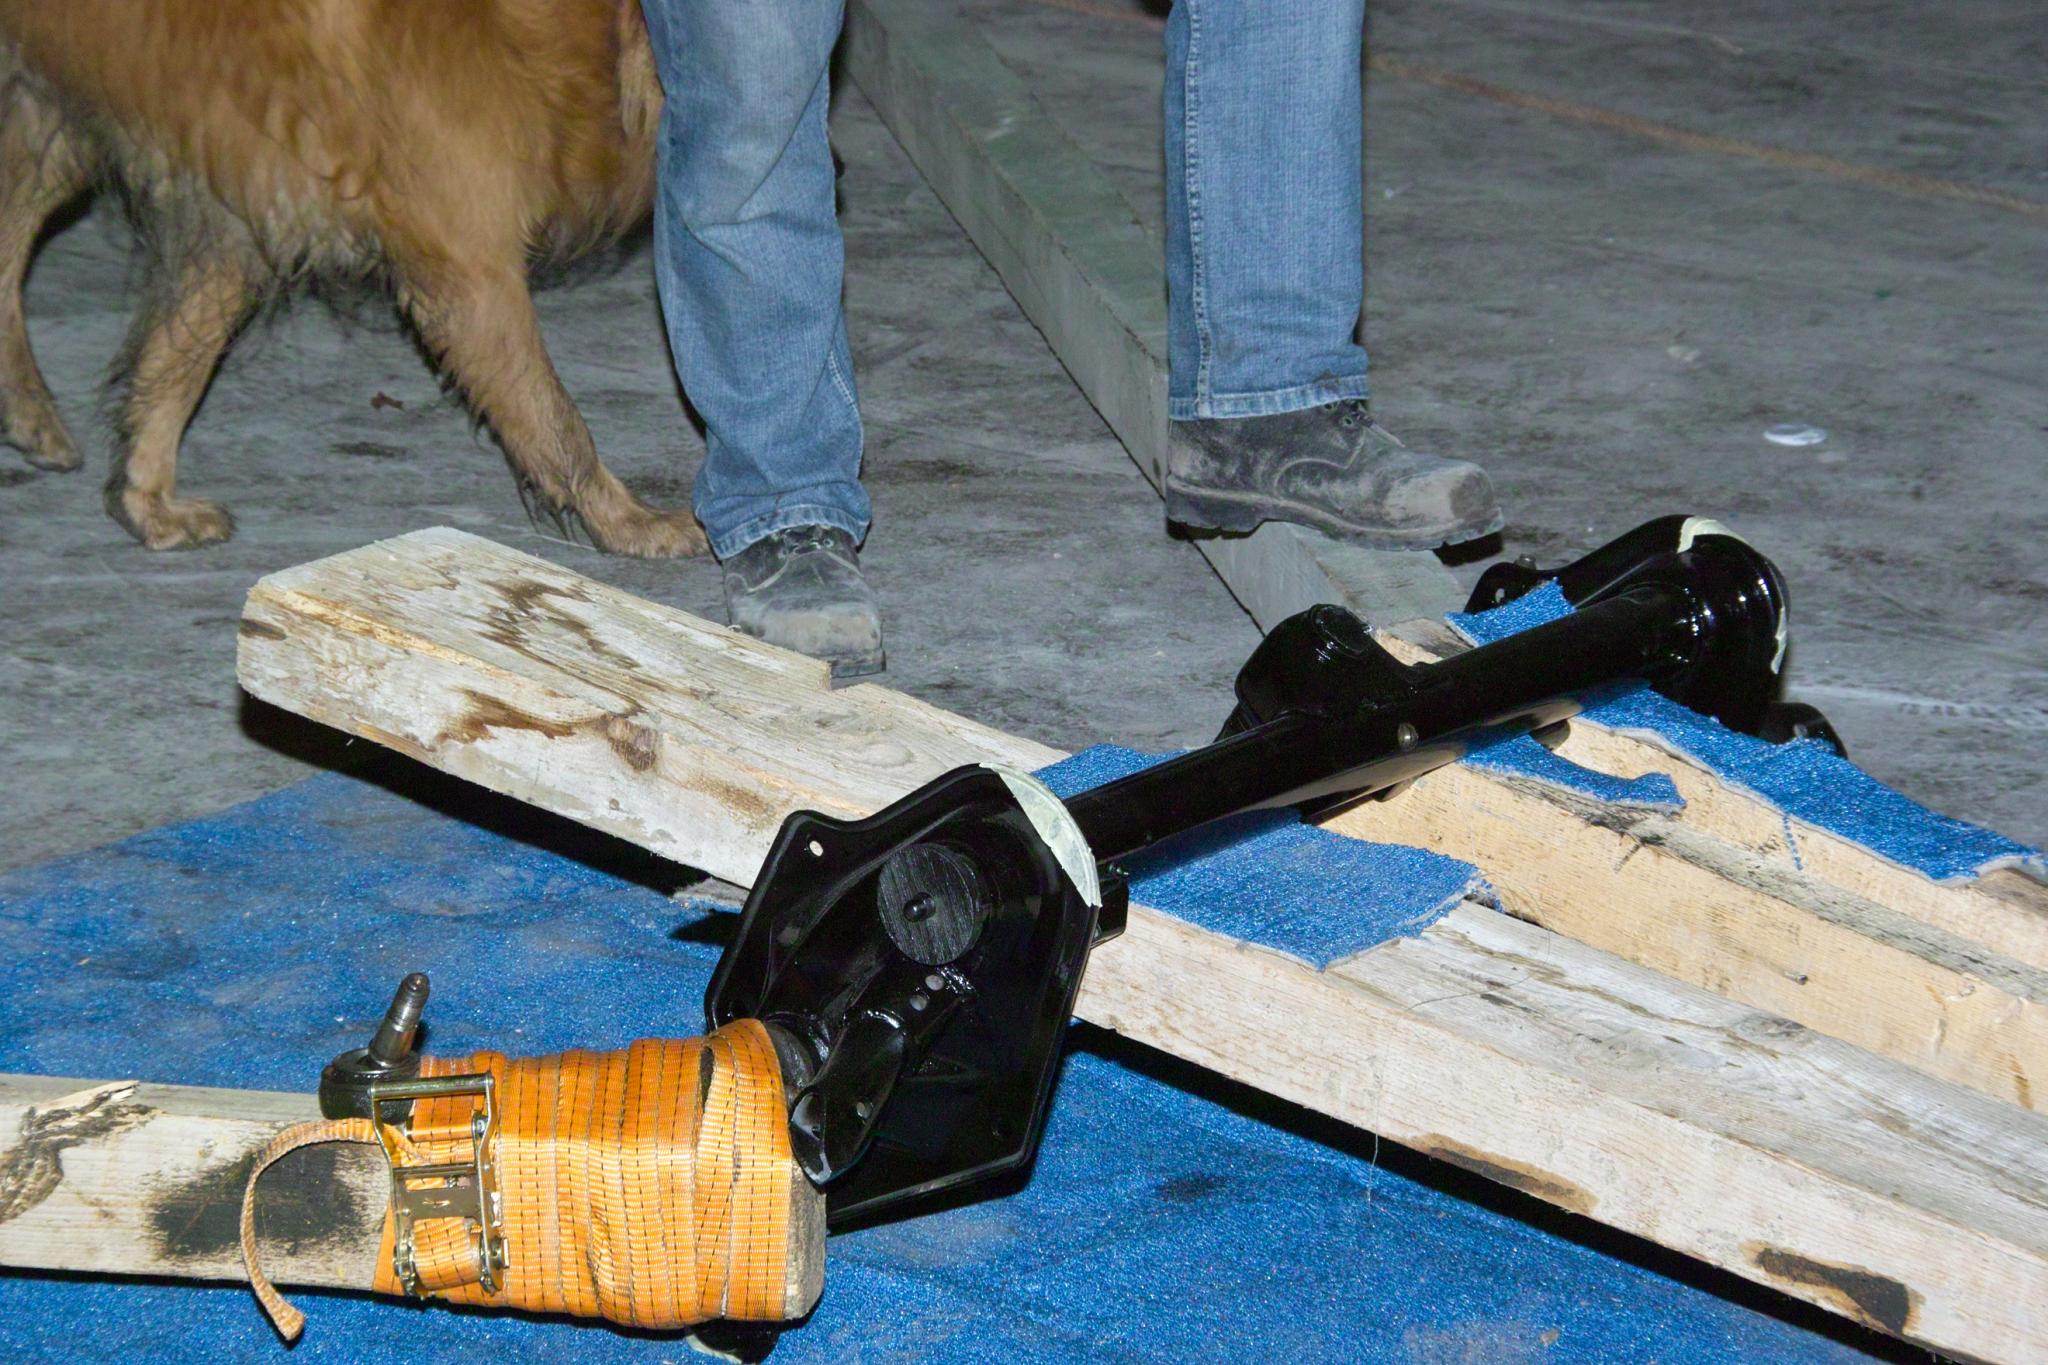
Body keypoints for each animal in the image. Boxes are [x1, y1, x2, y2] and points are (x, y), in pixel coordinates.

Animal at [0, 0, 704, 555]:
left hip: (56, 114)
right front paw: (630, 524)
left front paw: (145, 503)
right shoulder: (470, 268)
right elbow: (556, 422)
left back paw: (30, 414)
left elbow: (171, 368)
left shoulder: (237, 218)